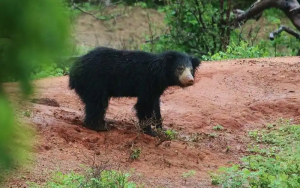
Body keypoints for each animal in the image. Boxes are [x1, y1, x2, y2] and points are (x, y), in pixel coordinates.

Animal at [68, 46, 202, 137]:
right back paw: (99, 126)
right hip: (94, 81)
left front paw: (160, 127)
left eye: (191, 69)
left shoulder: (156, 87)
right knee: (97, 103)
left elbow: (155, 104)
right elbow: (144, 104)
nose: (190, 80)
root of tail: (73, 72)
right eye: (180, 68)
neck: (160, 73)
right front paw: (149, 130)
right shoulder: (147, 82)